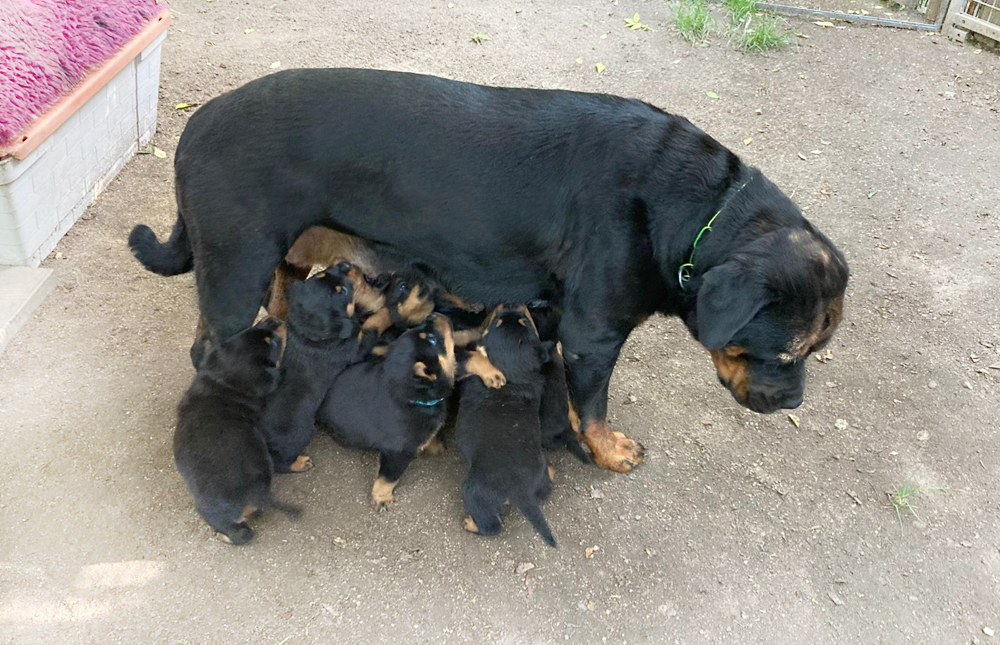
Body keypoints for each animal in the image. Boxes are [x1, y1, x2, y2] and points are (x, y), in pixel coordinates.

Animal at [173, 317, 299, 545]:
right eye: (273, 343)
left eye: (258, 326)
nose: (273, 319)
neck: (222, 381)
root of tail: (257, 495)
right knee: (241, 535)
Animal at [259, 264, 360, 473]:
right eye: (343, 292)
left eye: (322, 272)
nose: (346, 264)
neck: (307, 332)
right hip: (301, 434)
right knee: (282, 463)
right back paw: (301, 463)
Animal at [317, 313, 504, 509]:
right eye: (431, 339)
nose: (433, 314)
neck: (409, 395)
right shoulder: (398, 451)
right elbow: (388, 477)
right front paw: (382, 497)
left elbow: (466, 359)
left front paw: (492, 372)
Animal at [457, 304, 558, 547]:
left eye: (524, 321)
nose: (512, 304)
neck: (514, 375)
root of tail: (521, 492)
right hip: (539, 481)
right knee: (545, 490)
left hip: (473, 491)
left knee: (492, 526)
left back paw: (471, 524)